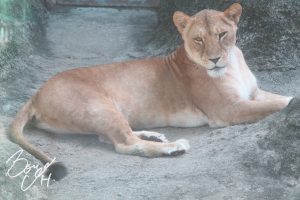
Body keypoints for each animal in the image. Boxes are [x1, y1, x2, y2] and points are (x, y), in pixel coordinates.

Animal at [9, 3, 292, 180]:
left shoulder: (253, 94)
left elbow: (278, 98)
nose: (214, 60)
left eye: (223, 34)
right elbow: (274, 106)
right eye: (198, 39)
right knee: (125, 145)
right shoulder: (228, 110)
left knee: (109, 137)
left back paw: (155, 136)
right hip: (99, 106)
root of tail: (36, 94)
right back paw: (173, 146)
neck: (233, 63)